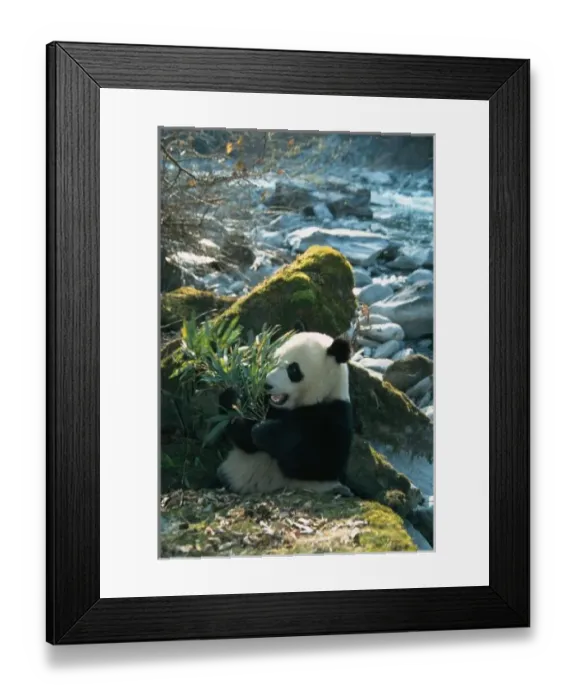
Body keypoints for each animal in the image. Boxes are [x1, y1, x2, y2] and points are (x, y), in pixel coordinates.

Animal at [216, 331, 354, 496]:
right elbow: (241, 436)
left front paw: (263, 431)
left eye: (293, 369)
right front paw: (232, 398)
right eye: (271, 361)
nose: (266, 384)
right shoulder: (268, 406)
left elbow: (322, 462)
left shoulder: (335, 413)